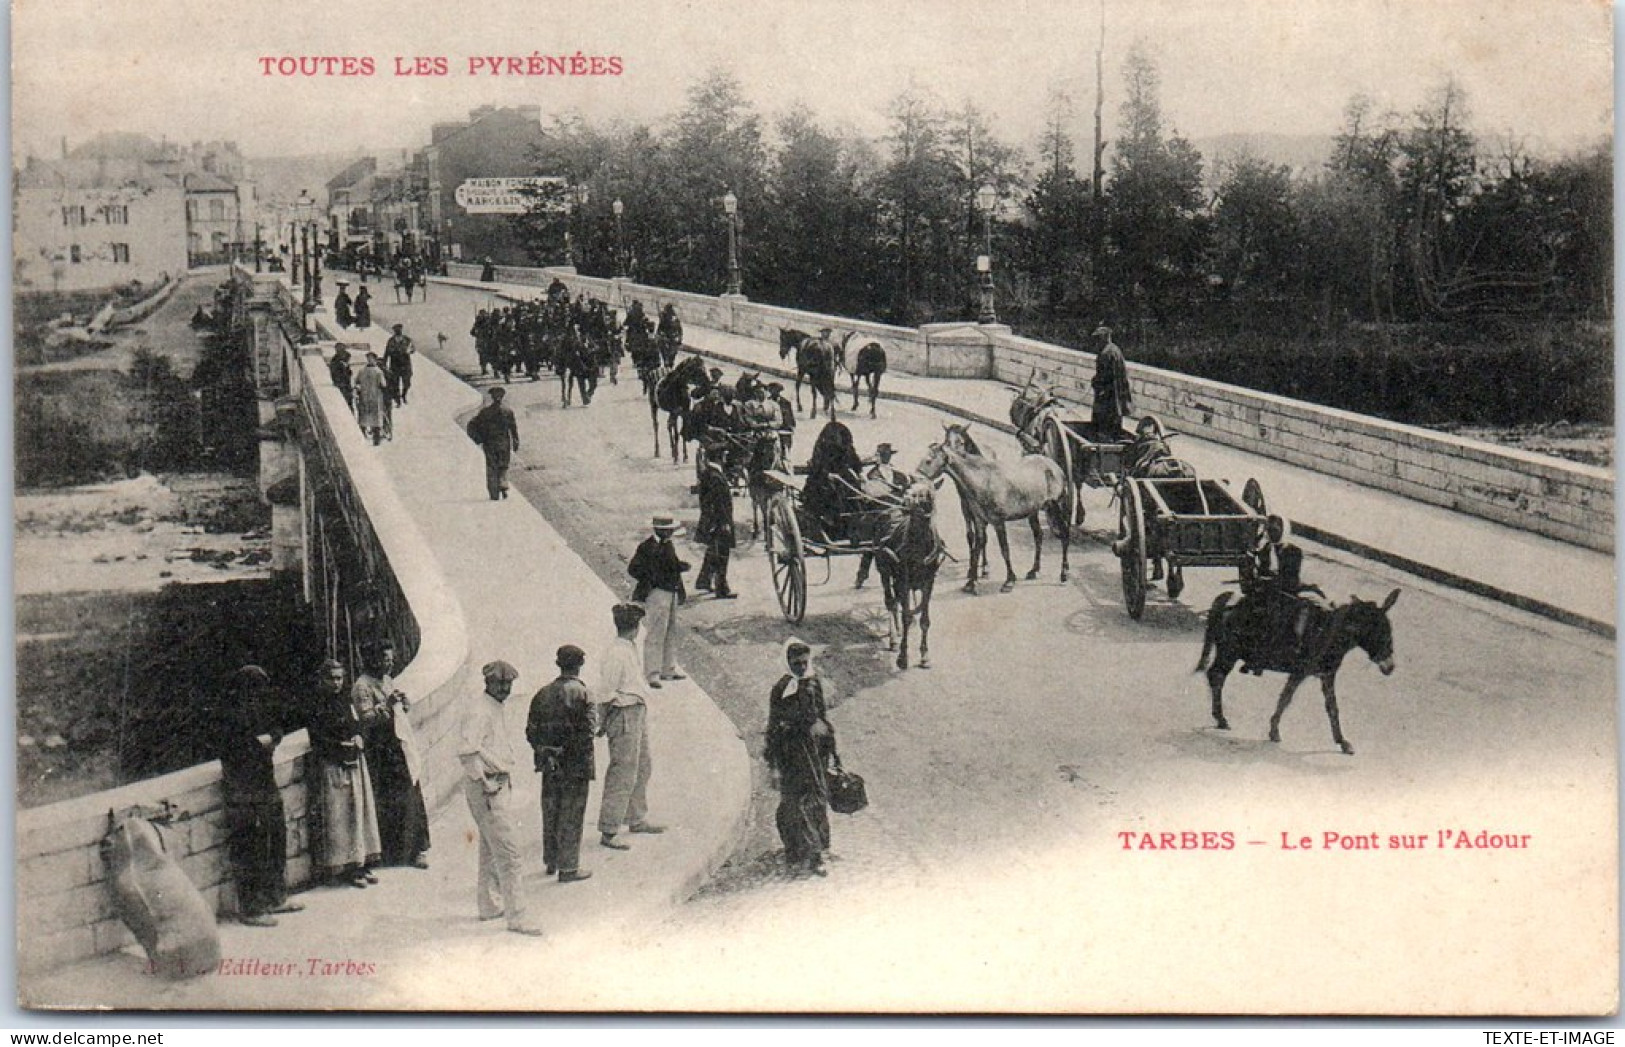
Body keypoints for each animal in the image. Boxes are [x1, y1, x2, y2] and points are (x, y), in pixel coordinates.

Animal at [923, 422, 1072, 588]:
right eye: (946, 441)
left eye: (928, 461)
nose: (916, 476)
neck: (982, 480)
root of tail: (1055, 466)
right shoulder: (978, 520)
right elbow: (977, 545)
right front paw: (972, 581)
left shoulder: (998, 522)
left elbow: (1004, 549)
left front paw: (1009, 580)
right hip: (1033, 511)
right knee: (1038, 535)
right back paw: (1034, 570)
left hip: (1056, 507)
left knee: (1065, 533)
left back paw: (1064, 573)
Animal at [1196, 588, 1397, 751]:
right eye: (1380, 632)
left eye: (1389, 631)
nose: (1391, 667)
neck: (1328, 631)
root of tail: (1229, 598)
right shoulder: (1300, 672)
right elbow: (1286, 698)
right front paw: (1274, 731)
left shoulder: (1327, 675)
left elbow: (1332, 707)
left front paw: (1342, 741)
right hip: (1229, 653)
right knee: (1216, 676)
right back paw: (1221, 718)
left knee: (1214, 676)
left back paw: (1219, 718)